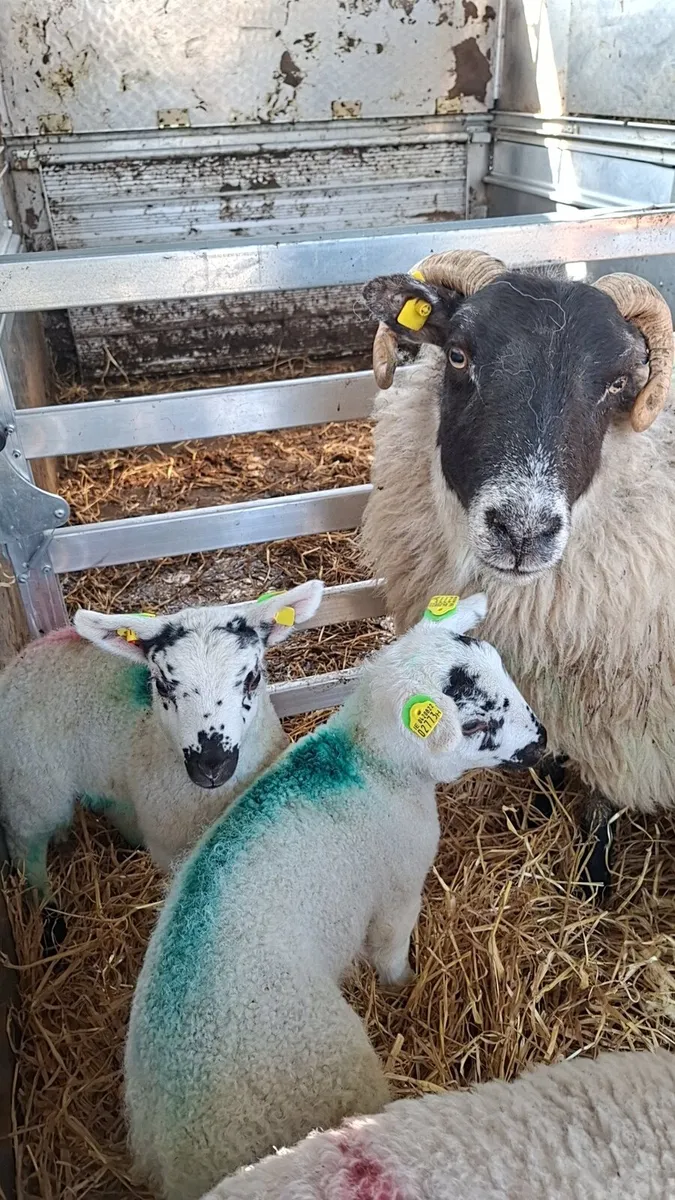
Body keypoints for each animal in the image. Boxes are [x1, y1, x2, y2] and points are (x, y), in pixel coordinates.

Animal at [0, 581, 323, 892]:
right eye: (162, 685)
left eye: (252, 679)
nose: (211, 764)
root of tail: (23, 657)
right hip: (31, 789)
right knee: (26, 848)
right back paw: (43, 901)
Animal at [124, 593, 546, 1200]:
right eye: (476, 722)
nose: (542, 741)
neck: (370, 761)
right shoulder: (399, 886)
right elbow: (390, 948)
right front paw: (403, 985)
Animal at [360, 251, 675, 894]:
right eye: (458, 355)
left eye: (618, 384)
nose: (522, 532)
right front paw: (538, 806)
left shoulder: (628, 721)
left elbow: (602, 800)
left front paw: (592, 881)